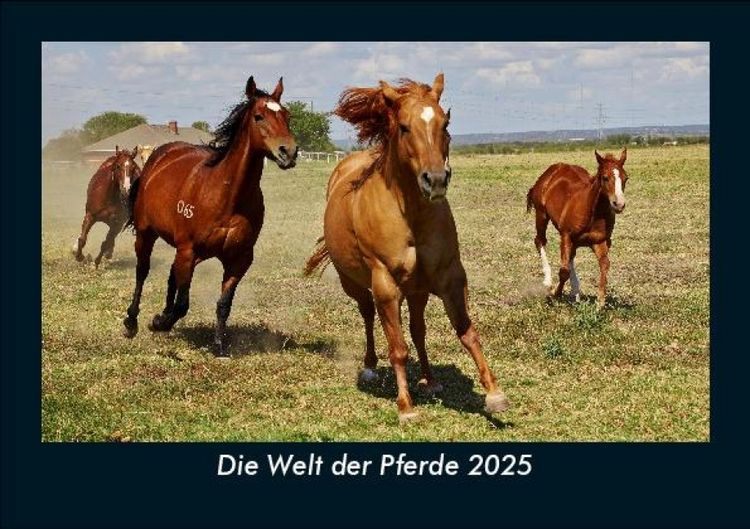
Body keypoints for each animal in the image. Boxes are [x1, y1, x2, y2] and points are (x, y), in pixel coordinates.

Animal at [122, 76, 298, 357]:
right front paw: (159, 322)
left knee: (171, 275)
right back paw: (132, 322)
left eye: (287, 115)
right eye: (259, 116)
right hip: (147, 234)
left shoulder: (239, 260)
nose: (288, 152)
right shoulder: (188, 249)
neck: (227, 196)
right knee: (142, 271)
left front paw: (219, 346)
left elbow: (223, 304)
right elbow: (183, 303)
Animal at [304, 74, 510, 421]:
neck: (410, 215)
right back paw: (370, 368)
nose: (436, 180)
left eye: (445, 122)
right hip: (356, 284)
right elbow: (397, 348)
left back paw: (429, 380)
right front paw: (405, 406)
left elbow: (466, 332)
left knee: (417, 330)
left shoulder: (449, 277)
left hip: (417, 290)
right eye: (403, 127)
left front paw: (494, 393)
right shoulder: (386, 284)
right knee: (368, 316)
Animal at [526, 148, 629, 308]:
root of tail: (551, 170)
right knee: (540, 241)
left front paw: (600, 303)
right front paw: (555, 294)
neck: (593, 213)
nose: (619, 204)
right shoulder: (566, 235)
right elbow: (564, 271)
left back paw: (576, 292)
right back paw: (548, 282)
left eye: (626, 178)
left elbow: (604, 265)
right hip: (541, 214)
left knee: (571, 257)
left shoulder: (600, 241)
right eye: (605, 178)